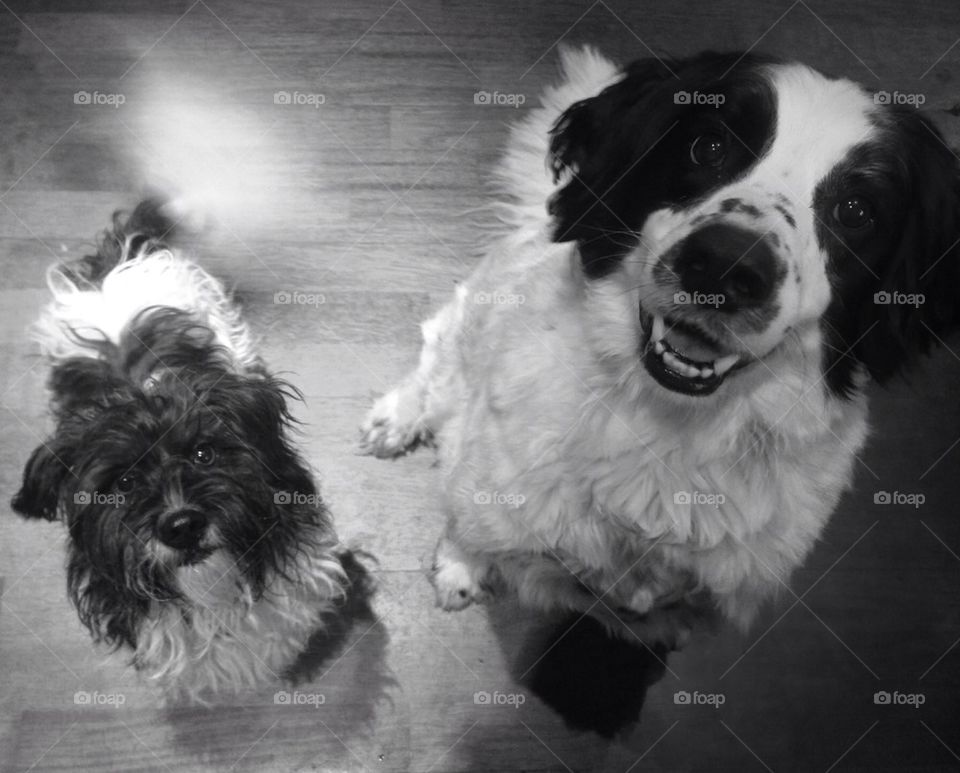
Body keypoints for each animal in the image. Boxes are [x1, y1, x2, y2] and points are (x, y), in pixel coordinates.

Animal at [362, 46, 960, 644]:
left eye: (857, 210)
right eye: (709, 146)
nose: (725, 266)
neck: (666, 430)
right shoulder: (492, 497)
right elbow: (470, 528)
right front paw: (460, 566)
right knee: (436, 367)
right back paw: (397, 420)